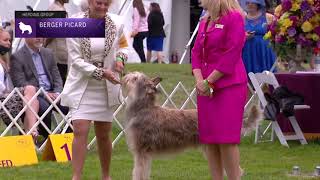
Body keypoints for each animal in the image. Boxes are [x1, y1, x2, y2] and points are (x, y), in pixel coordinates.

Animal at [122, 71, 260, 180]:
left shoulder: (141, 152)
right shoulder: (145, 154)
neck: (142, 108)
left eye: (135, 78)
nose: (125, 75)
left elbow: (138, 172)